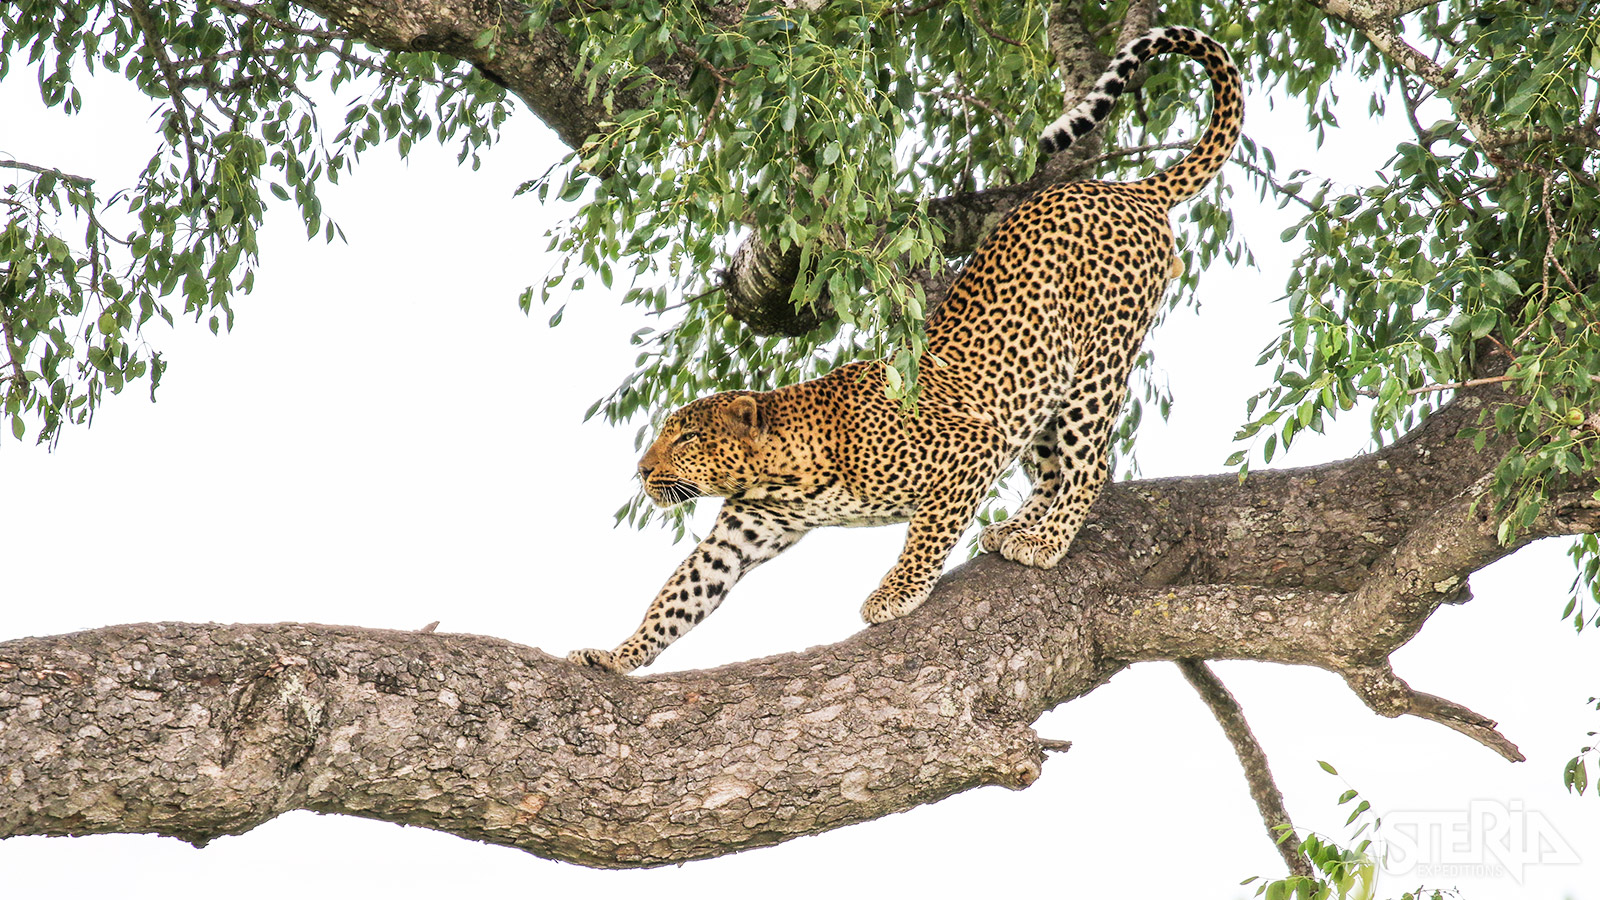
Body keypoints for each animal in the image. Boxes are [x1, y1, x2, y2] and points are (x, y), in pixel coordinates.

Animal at [569, 26, 1241, 672]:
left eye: (686, 438)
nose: (642, 471)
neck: (779, 473)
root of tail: (1126, 189)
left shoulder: (969, 448)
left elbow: (926, 531)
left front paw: (896, 592)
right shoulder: (742, 531)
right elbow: (677, 596)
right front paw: (614, 656)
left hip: (1098, 363)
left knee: (1091, 464)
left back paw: (1045, 541)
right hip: (1037, 384)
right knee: (1052, 465)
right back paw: (1019, 526)